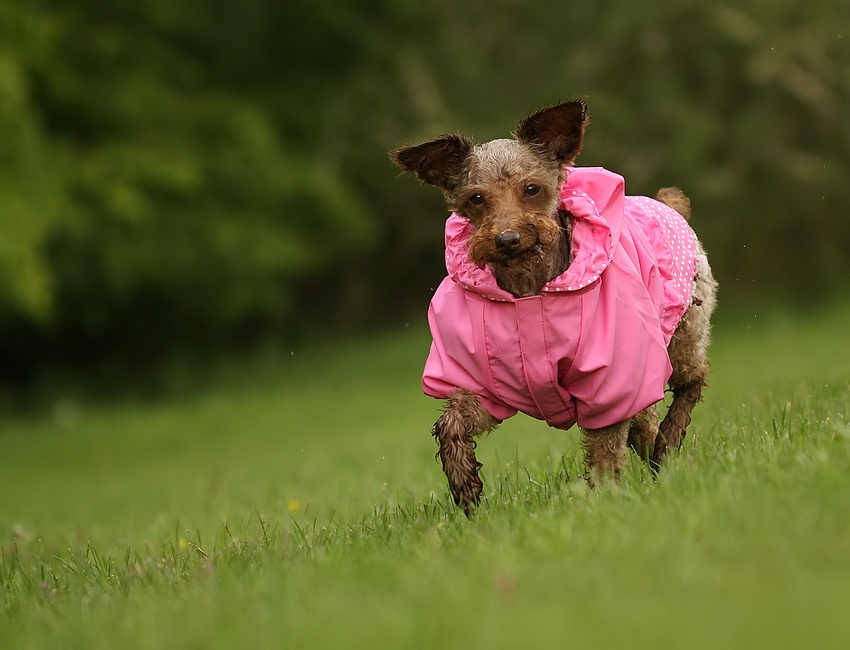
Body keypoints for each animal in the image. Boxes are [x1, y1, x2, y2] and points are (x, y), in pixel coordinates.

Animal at [390, 100, 716, 512]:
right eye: (476, 198)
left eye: (532, 189)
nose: (507, 239)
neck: (529, 290)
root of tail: (667, 204)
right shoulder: (489, 387)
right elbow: (452, 420)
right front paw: (464, 482)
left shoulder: (610, 380)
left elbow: (605, 448)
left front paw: (603, 497)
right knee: (645, 421)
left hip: (683, 330)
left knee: (693, 378)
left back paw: (669, 440)